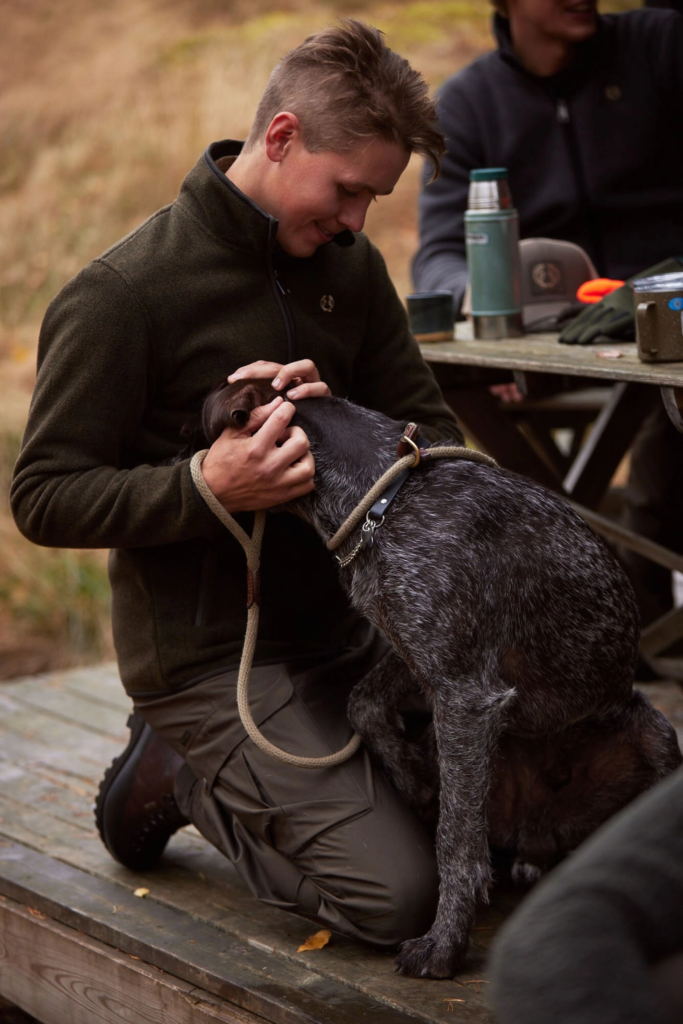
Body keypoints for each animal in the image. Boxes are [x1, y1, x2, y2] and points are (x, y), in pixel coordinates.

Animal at [188, 376, 683, 974]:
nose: (197, 474)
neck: (386, 498)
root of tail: (540, 832)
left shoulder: (464, 694)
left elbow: (456, 843)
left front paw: (445, 945)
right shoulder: (416, 653)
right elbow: (362, 704)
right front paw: (412, 779)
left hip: (658, 739)